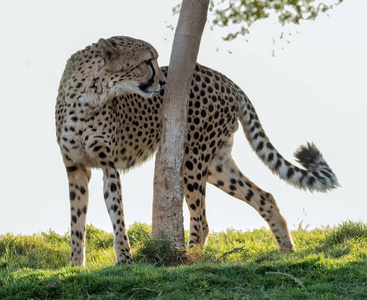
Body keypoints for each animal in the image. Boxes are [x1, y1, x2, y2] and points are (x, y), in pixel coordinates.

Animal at [55, 36, 340, 266]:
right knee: (264, 196)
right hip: (216, 165)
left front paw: (124, 258)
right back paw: (286, 250)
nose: (163, 81)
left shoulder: (108, 164)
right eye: (147, 61)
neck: (88, 95)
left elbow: (117, 213)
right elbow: (76, 220)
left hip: (191, 161)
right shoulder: (75, 168)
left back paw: (189, 257)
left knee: (202, 221)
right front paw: (75, 265)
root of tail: (226, 79)